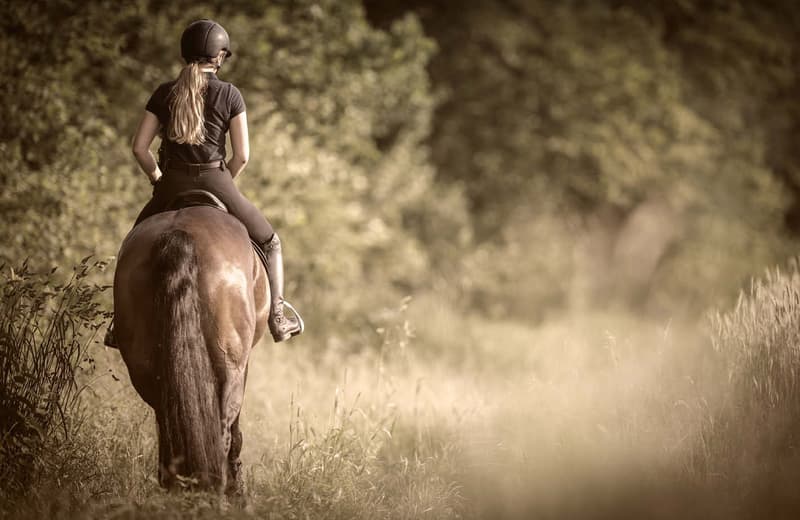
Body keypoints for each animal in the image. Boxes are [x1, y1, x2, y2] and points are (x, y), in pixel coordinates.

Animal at [112, 205, 269, 494]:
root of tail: (178, 233)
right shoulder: (243, 364)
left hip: (144, 367)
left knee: (166, 423)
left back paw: (175, 485)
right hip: (229, 364)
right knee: (222, 430)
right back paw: (219, 489)